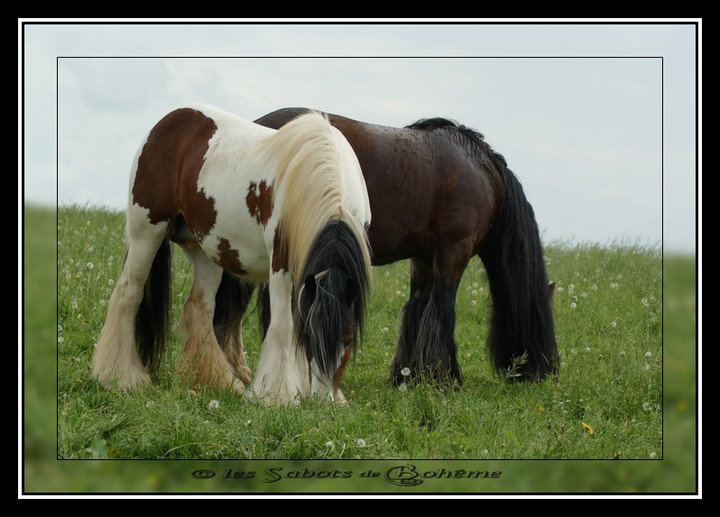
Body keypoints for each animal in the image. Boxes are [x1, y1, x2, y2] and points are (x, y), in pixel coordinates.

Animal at [90, 104, 372, 404]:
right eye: (310, 338)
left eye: (348, 339)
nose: (322, 402)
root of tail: (168, 120)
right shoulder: (281, 261)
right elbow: (283, 326)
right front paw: (276, 396)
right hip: (146, 231)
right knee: (128, 294)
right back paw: (120, 377)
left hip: (206, 249)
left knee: (200, 308)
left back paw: (215, 381)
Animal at [219, 107, 556, 384]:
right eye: (541, 324)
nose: (543, 372)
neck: (482, 173)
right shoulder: (453, 253)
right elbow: (442, 313)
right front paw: (446, 379)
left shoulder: (424, 258)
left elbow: (417, 309)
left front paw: (408, 376)